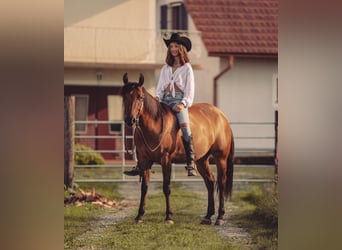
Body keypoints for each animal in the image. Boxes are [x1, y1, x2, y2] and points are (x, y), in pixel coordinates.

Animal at [121, 73, 235, 226]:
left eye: (140, 97)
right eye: (124, 96)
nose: (130, 120)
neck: (155, 125)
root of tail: (222, 117)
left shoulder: (166, 160)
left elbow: (166, 187)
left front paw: (169, 216)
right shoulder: (144, 162)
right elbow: (144, 188)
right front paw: (139, 216)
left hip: (220, 158)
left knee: (221, 183)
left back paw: (220, 217)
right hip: (201, 160)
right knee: (210, 182)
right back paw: (208, 216)